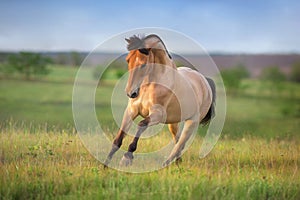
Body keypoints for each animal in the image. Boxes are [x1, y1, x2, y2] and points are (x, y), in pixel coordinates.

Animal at [103, 34, 216, 167]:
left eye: (143, 64)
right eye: (128, 60)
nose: (131, 93)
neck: (149, 85)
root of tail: (204, 81)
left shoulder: (157, 115)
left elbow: (141, 125)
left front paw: (127, 157)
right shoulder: (132, 111)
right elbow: (118, 139)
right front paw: (105, 165)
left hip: (192, 122)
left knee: (179, 144)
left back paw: (165, 165)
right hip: (173, 123)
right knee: (177, 141)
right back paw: (177, 163)